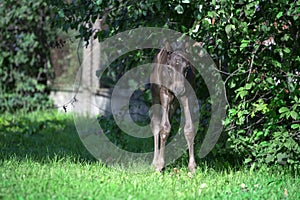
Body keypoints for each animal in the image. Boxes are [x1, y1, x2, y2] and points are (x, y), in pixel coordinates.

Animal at [150, 44, 197, 173]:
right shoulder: (165, 93)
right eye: (169, 67)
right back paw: (154, 162)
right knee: (156, 123)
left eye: (187, 68)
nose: (179, 89)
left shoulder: (186, 94)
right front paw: (159, 165)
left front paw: (192, 166)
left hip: (174, 103)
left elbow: (189, 128)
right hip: (156, 94)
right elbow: (164, 128)